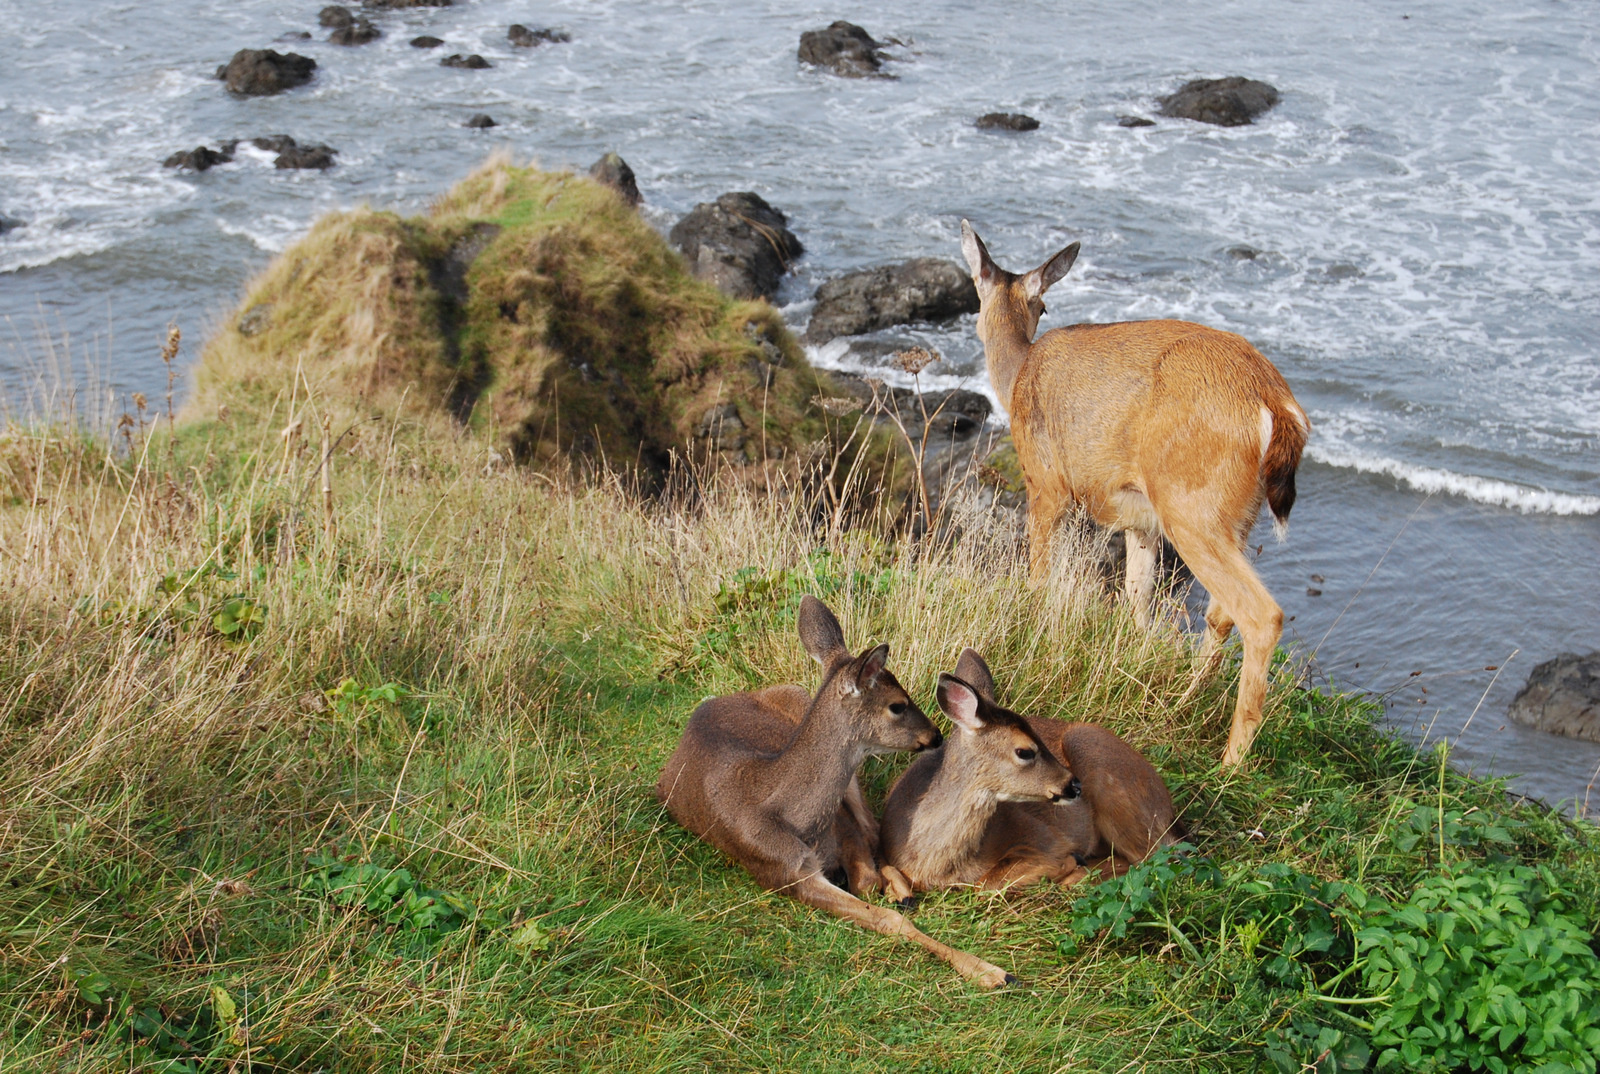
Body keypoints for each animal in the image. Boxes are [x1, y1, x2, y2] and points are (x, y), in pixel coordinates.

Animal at [652, 595, 1011, 992]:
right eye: (898, 704)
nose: (935, 735)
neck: (788, 816)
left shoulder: (840, 820)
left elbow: (868, 872)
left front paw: (991, 970)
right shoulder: (781, 871)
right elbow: (884, 915)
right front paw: (991, 971)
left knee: (874, 829)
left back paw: (901, 890)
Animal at [953, 222, 1305, 768]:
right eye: (1043, 306)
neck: (1016, 380)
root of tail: (1275, 402)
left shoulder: (1046, 483)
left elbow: (1039, 577)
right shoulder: (1139, 520)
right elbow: (1137, 600)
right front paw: (1134, 665)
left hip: (1190, 503)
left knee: (1260, 613)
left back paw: (1231, 761)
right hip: (1232, 515)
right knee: (1220, 612)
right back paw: (1181, 701)